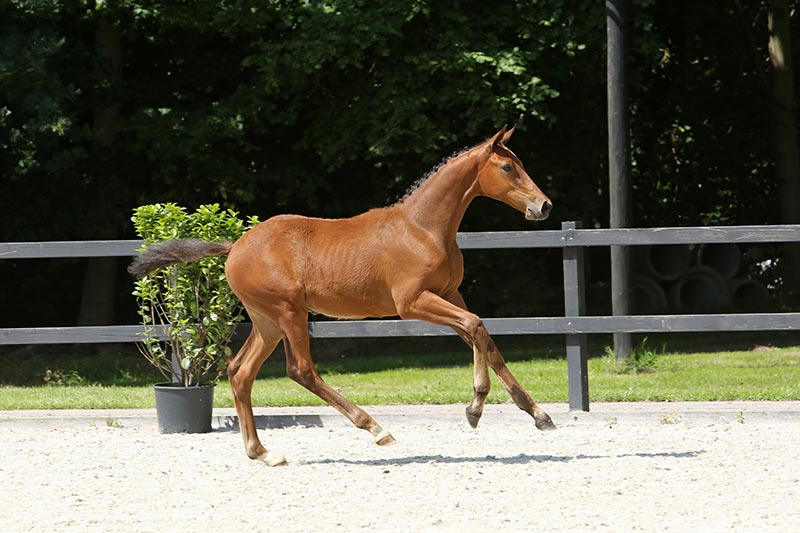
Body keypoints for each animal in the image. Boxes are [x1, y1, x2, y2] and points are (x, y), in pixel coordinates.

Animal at [129, 125, 555, 466]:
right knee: (301, 370)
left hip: (267, 321)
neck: (422, 228)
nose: (544, 205)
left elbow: (485, 340)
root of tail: (234, 246)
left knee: (240, 371)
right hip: (289, 313)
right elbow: (476, 326)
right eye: (507, 168)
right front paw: (475, 406)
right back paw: (376, 428)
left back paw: (263, 453)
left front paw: (538, 414)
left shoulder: (451, 293)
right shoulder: (413, 303)